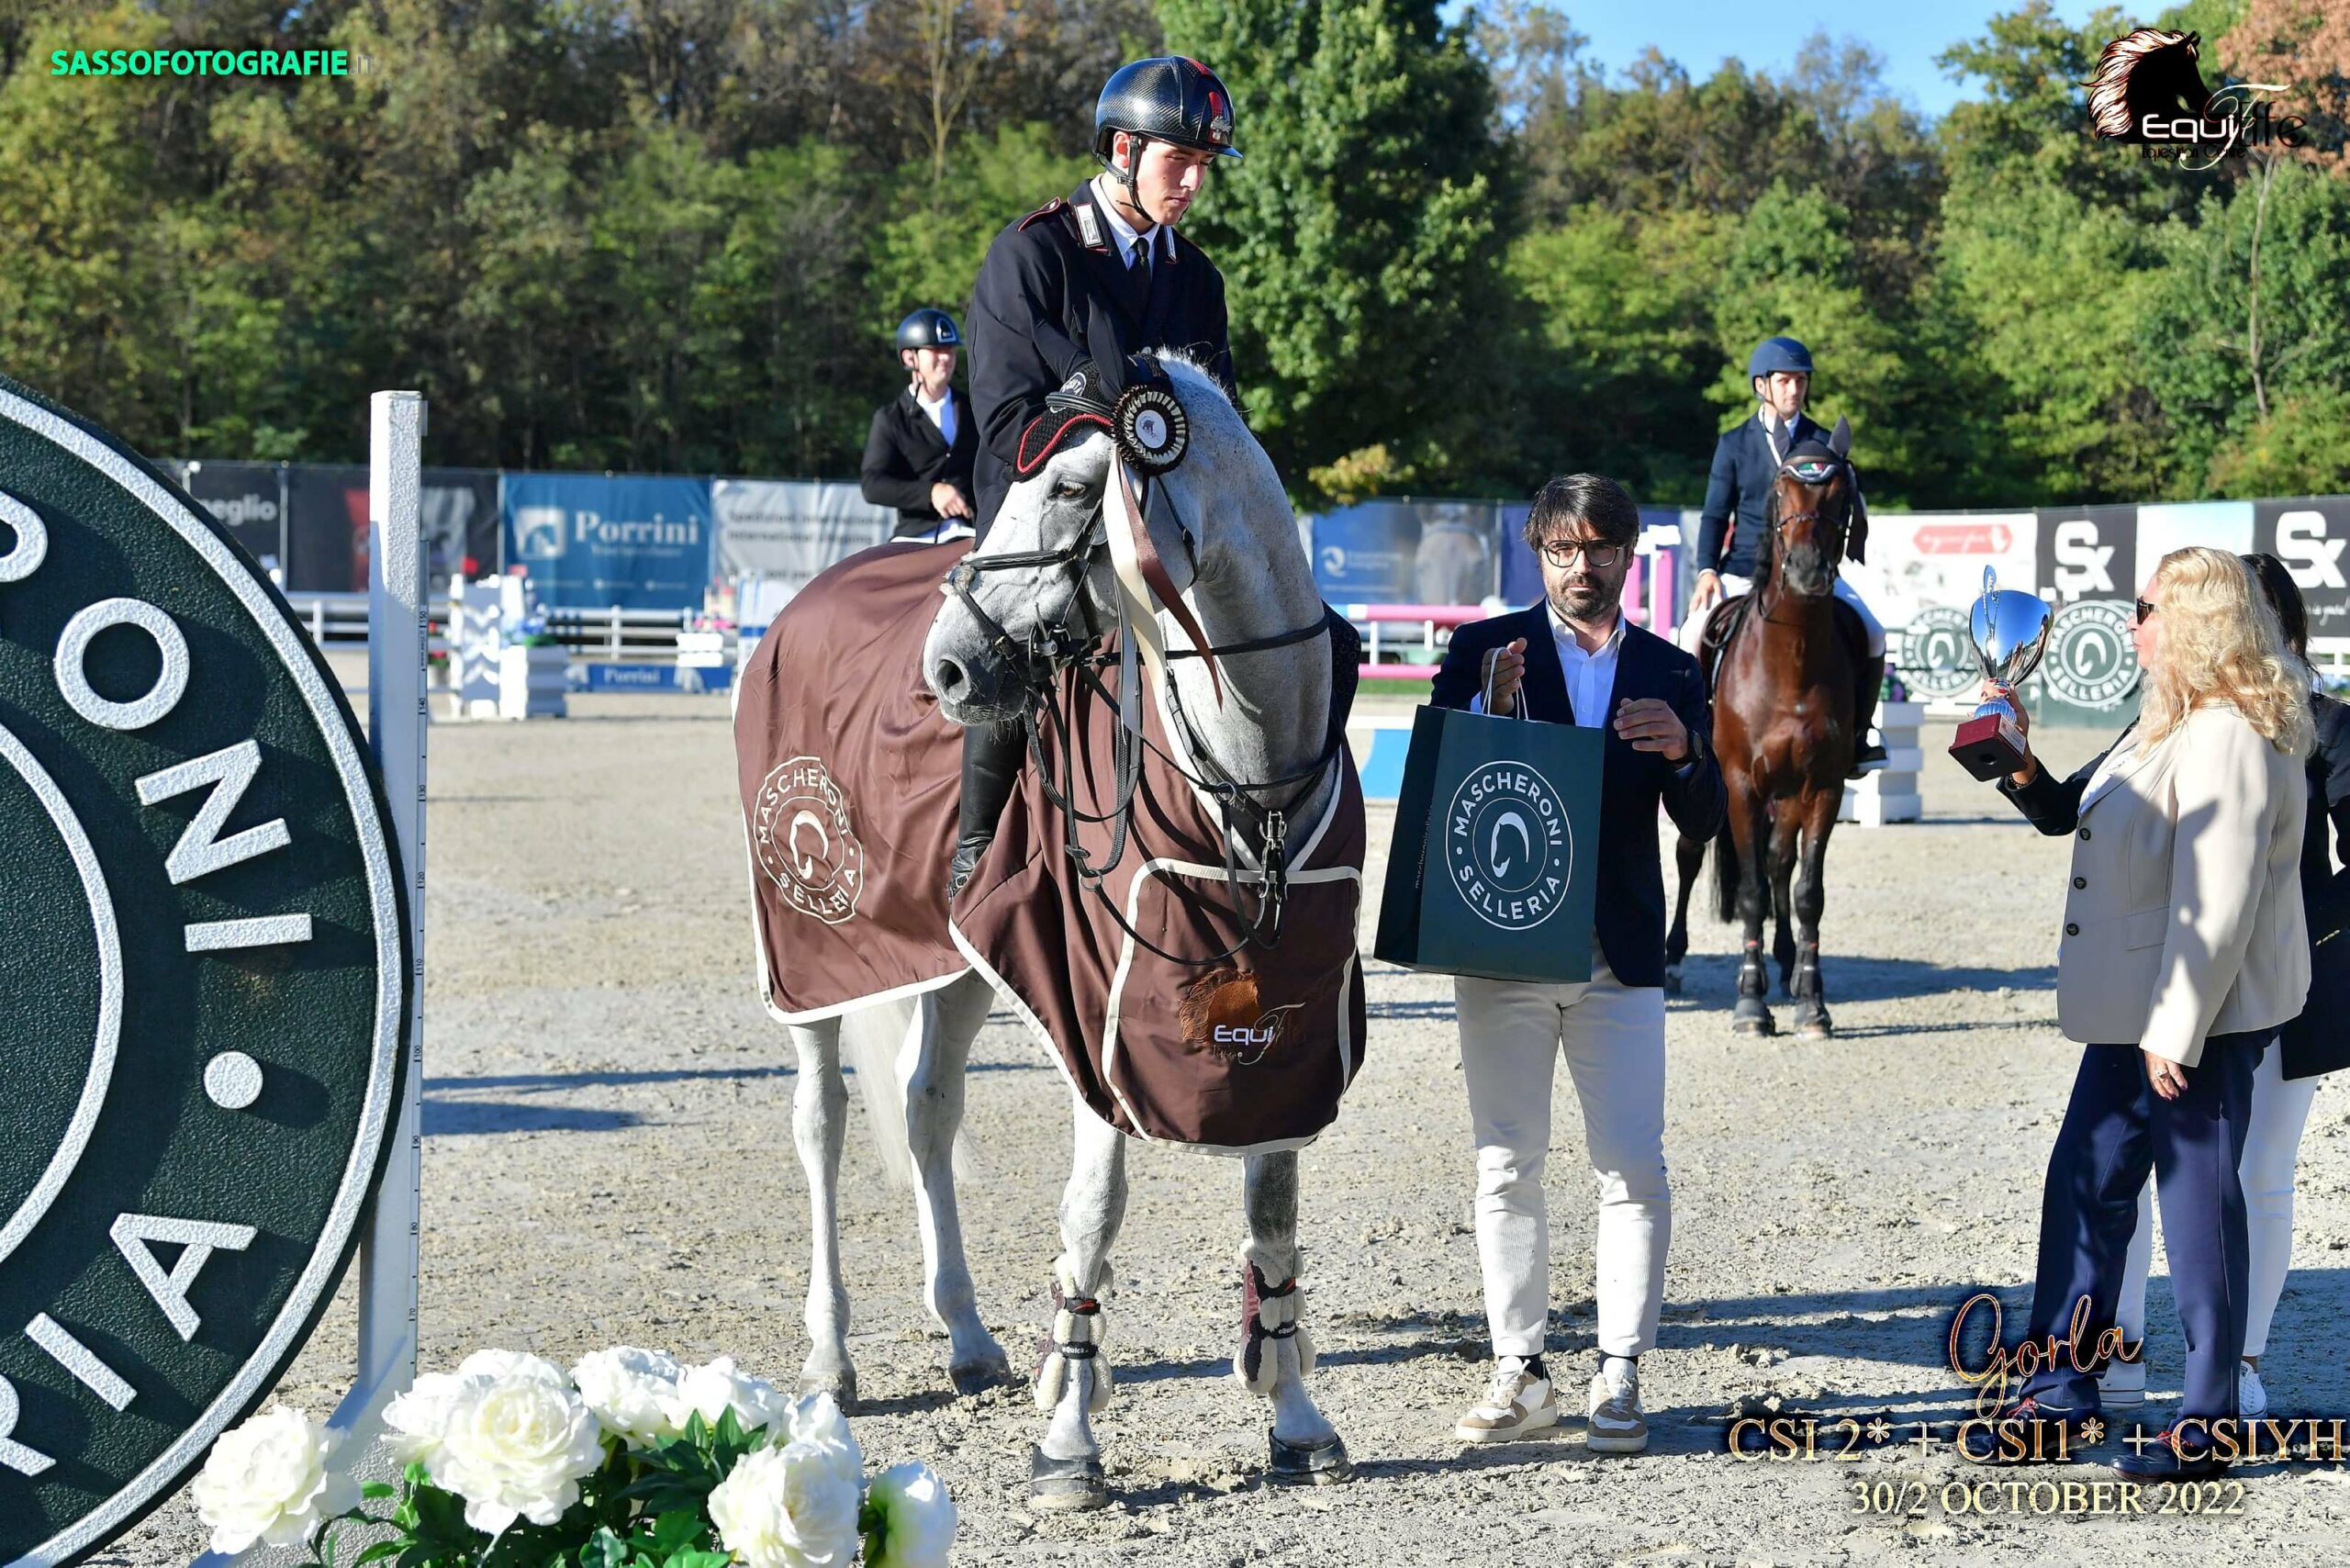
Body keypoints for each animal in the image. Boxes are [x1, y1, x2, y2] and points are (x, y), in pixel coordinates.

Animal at [733, 353, 1362, 1504]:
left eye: (1072, 489)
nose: (943, 667)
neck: (1246, 780)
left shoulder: (1283, 1028)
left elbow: (1272, 1209)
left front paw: (1295, 1413)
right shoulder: (1094, 1017)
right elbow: (1091, 1212)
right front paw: (1069, 1435)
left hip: (955, 968)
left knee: (926, 1108)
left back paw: (967, 1335)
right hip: (808, 962)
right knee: (821, 1125)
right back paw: (830, 1358)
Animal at [1663, 416, 1861, 1034]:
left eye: (1840, 492)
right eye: (1780, 490)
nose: (1808, 570)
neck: (1791, 659)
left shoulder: (1821, 787)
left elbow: (1806, 890)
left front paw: (1811, 1001)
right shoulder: (1741, 786)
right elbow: (1749, 890)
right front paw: (1750, 1000)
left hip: (1789, 793)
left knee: (1781, 862)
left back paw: (1788, 960)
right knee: (1690, 856)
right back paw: (1673, 961)